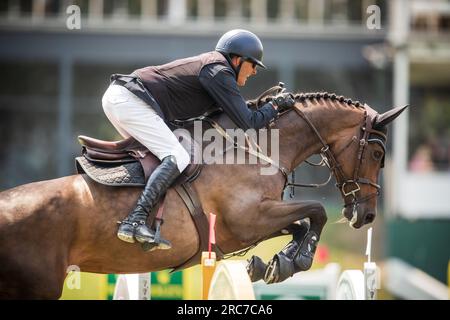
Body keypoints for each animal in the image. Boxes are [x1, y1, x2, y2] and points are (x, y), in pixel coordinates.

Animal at [0, 90, 408, 300]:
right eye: (377, 154)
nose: (366, 216)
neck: (258, 149)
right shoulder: (248, 220)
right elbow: (315, 212)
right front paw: (297, 260)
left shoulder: (246, 227)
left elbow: (301, 222)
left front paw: (274, 264)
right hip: (38, 287)